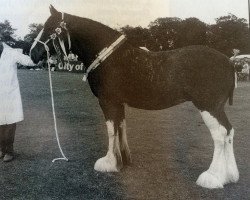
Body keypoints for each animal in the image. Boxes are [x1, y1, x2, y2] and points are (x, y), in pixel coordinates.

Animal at [30, 5, 239, 188]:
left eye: (49, 28)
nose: (32, 53)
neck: (109, 57)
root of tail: (229, 62)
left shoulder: (108, 102)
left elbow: (111, 130)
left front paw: (108, 163)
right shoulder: (118, 103)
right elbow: (121, 127)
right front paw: (122, 160)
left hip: (208, 106)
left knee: (220, 135)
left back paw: (212, 177)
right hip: (217, 108)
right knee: (229, 132)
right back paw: (229, 176)